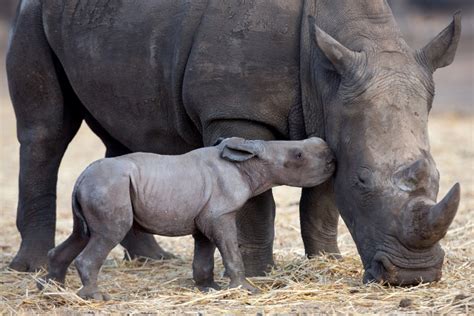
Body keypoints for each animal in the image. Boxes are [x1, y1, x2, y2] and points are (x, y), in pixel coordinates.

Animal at [39, 137, 334, 300]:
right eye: (298, 155)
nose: (331, 158)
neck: (248, 163)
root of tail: (81, 178)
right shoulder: (220, 214)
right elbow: (231, 251)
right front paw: (246, 290)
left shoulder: (205, 217)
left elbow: (204, 255)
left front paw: (210, 289)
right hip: (109, 188)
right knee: (109, 233)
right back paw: (97, 298)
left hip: (97, 187)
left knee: (82, 234)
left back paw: (52, 291)